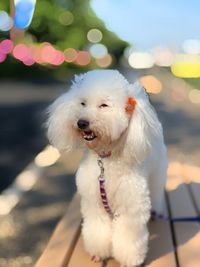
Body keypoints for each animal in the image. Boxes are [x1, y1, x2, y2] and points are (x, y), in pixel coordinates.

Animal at [46, 70, 167, 266]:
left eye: (104, 105)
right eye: (82, 103)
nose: (82, 123)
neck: (107, 159)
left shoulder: (131, 207)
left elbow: (128, 237)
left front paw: (129, 259)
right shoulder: (94, 202)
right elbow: (97, 229)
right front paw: (99, 252)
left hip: (158, 173)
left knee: (156, 192)